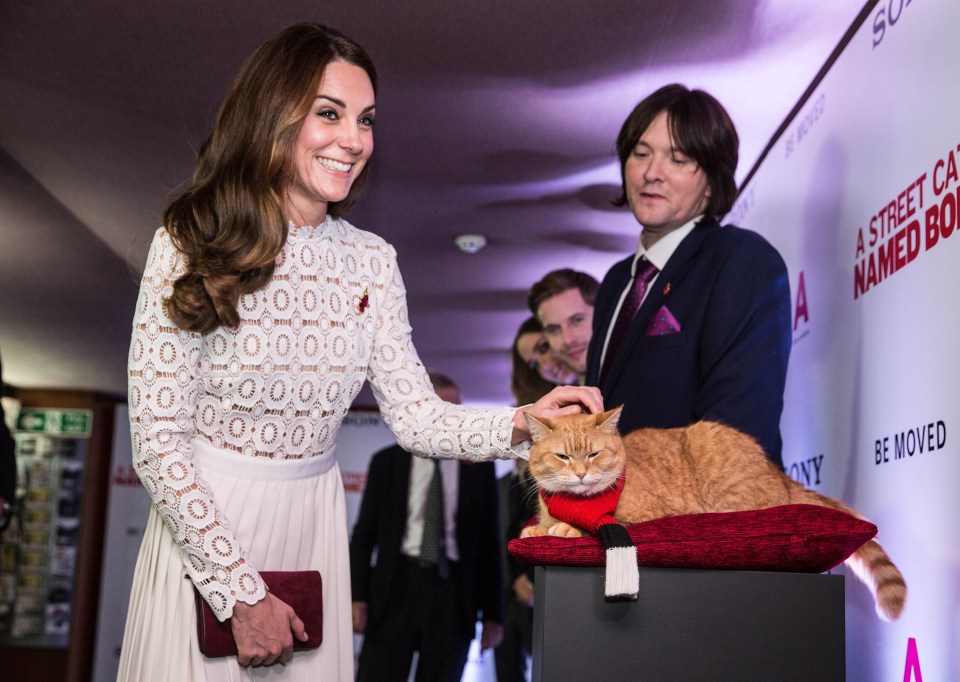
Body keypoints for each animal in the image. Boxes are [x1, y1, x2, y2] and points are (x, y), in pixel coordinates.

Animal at [524, 406, 908, 620]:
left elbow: (598, 523)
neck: (574, 500)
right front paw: (538, 529)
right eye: (562, 457)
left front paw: (567, 528)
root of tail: (780, 475)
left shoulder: (648, 514)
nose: (580, 474)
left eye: (593, 455)